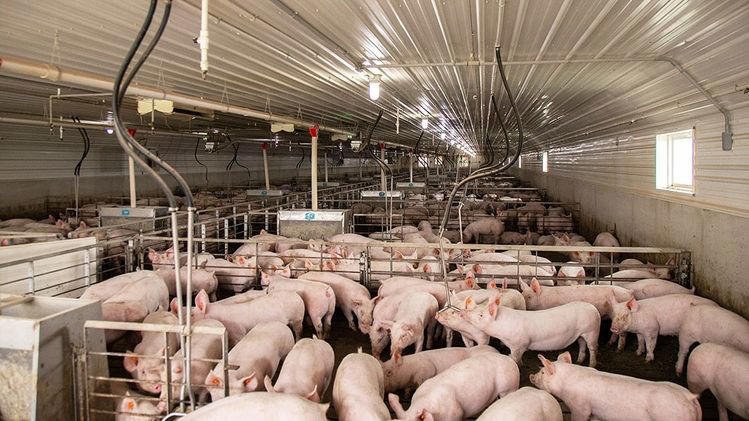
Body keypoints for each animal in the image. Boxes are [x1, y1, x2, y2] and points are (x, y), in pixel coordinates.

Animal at [462, 292, 600, 367]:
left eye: (481, 315)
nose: (463, 312)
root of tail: (593, 308)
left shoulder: (520, 344)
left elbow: (516, 357)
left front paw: (519, 364)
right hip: (581, 334)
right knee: (582, 344)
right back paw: (579, 361)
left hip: (592, 331)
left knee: (593, 348)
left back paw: (591, 365)